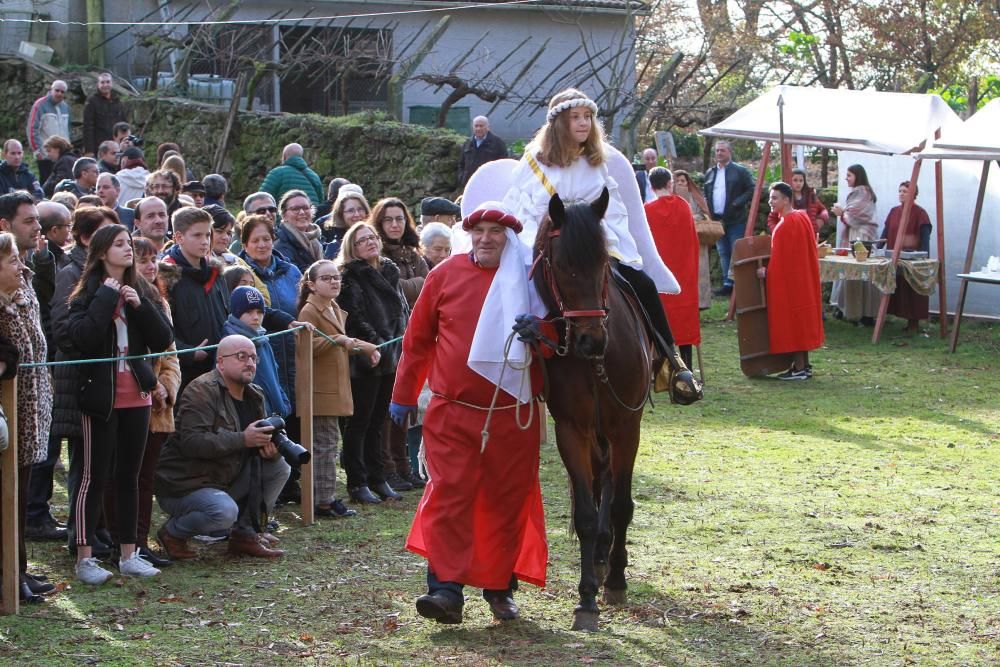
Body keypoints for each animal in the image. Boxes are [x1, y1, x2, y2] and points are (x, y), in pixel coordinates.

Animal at [532, 189, 648, 632]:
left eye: (601, 263)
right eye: (562, 265)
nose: (590, 340)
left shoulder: (626, 426)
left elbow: (621, 505)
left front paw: (616, 581)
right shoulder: (573, 430)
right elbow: (585, 511)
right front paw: (586, 599)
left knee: (612, 483)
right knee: (600, 478)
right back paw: (598, 555)